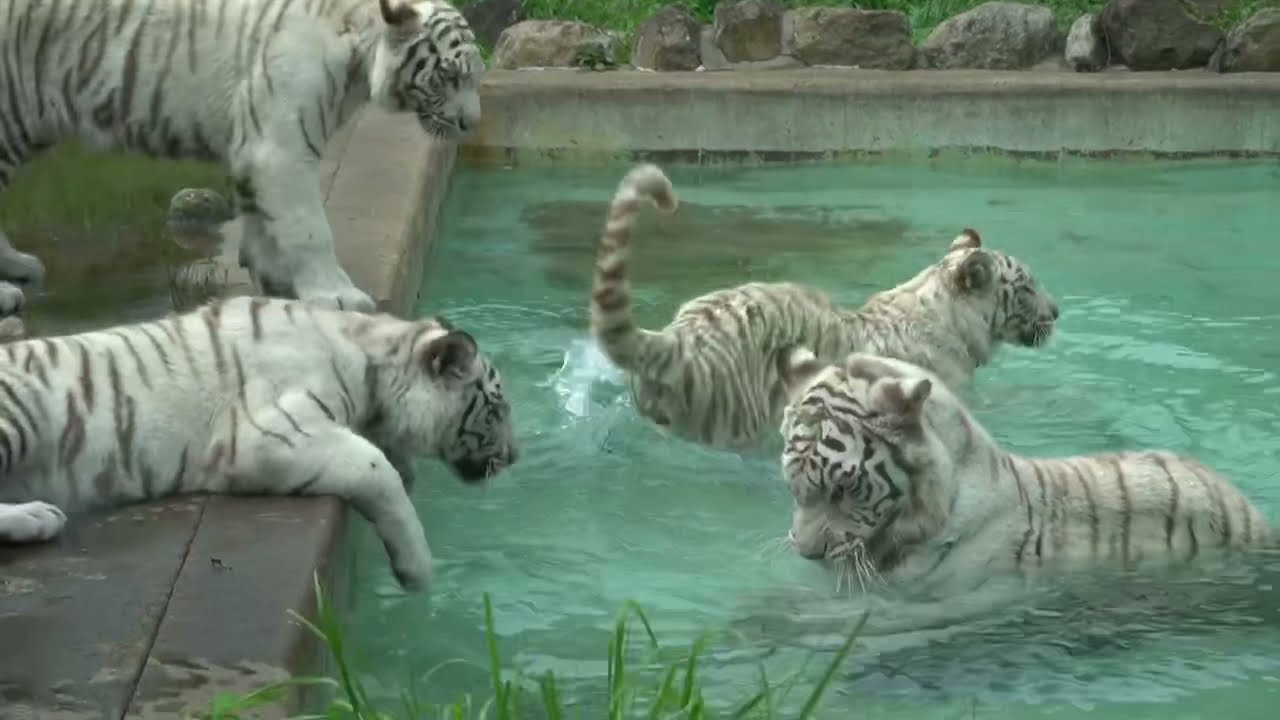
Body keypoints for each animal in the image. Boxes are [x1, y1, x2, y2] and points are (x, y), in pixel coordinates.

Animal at [0, 0, 484, 320]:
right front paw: (337, 295)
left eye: (474, 77)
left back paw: (20, 268)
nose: (471, 123)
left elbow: (261, 218)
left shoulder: (256, 143)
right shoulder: (282, 147)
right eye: (449, 76)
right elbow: (309, 228)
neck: (358, 58)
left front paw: (274, 278)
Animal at [0, 295, 517, 592]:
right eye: (497, 409)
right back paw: (38, 516)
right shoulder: (263, 435)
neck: (371, 363)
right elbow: (375, 469)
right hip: (17, 410)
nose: (515, 457)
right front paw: (417, 569)